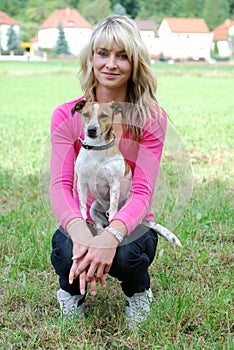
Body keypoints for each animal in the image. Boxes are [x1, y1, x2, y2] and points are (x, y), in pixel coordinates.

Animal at [71, 98, 183, 246]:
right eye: (85, 114)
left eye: (104, 115)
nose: (91, 129)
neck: (96, 148)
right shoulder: (82, 182)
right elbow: (83, 205)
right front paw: (84, 221)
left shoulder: (114, 183)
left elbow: (113, 207)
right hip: (95, 206)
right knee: (100, 224)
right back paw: (98, 229)